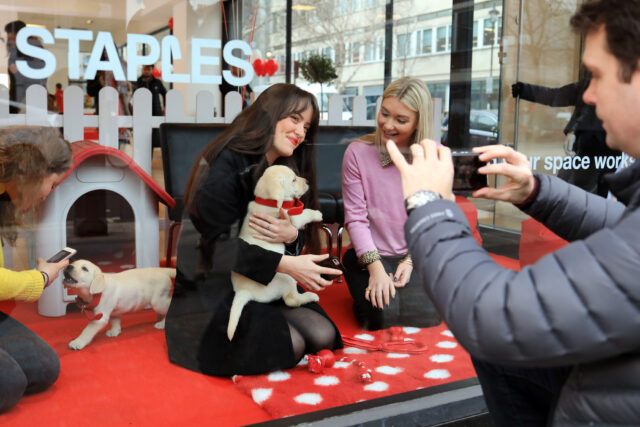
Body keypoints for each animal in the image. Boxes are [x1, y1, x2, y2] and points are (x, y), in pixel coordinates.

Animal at [228, 165, 322, 342]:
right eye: (293, 179)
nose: (307, 181)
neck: (267, 201)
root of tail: (244, 292)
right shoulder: (291, 219)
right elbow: (304, 213)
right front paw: (316, 214)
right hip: (288, 277)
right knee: (291, 300)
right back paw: (309, 296)